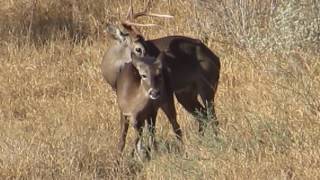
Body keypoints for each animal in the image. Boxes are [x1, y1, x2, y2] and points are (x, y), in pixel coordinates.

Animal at [101, 0, 221, 136]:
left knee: (212, 116)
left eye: (145, 44)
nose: (153, 63)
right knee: (202, 115)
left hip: (207, 87)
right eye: (138, 49)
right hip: (185, 93)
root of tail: (215, 58)